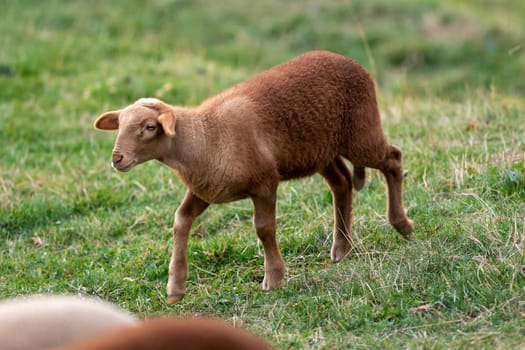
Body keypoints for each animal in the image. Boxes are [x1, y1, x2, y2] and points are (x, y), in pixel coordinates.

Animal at [95, 50, 414, 304]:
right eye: (120, 125)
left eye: (150, 127)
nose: (117, 159)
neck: (205, 137)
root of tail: (348, 60)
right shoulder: (204, 189)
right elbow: (180, 221)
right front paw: (175, 287)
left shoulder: (264, 184)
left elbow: (264, 229)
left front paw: (273, 278)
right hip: (320, 150)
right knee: (342, 183)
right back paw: (341, 249)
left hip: (361, 133)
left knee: (393, 159)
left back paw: (402, 224)